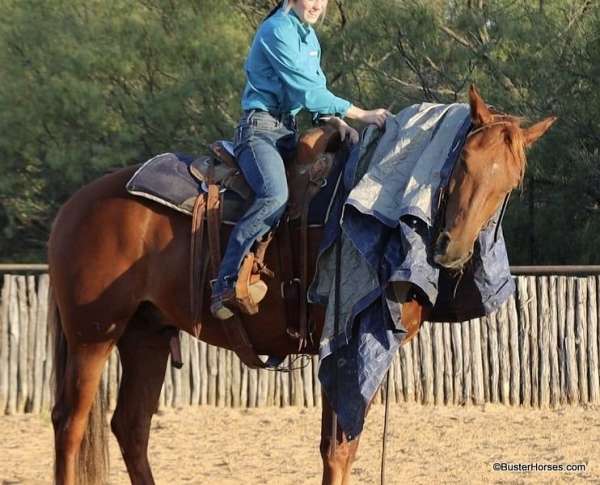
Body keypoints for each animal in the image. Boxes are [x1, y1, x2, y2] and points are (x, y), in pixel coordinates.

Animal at [49, 87, 556, 484]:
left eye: (512, 179)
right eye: (463, 161)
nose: (451, 247)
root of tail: (74, 206)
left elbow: (343, 447)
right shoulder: (344, 341)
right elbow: (337, 450)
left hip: (146, 334)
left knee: (130, 427)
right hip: (93, 334)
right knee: (70, 423)